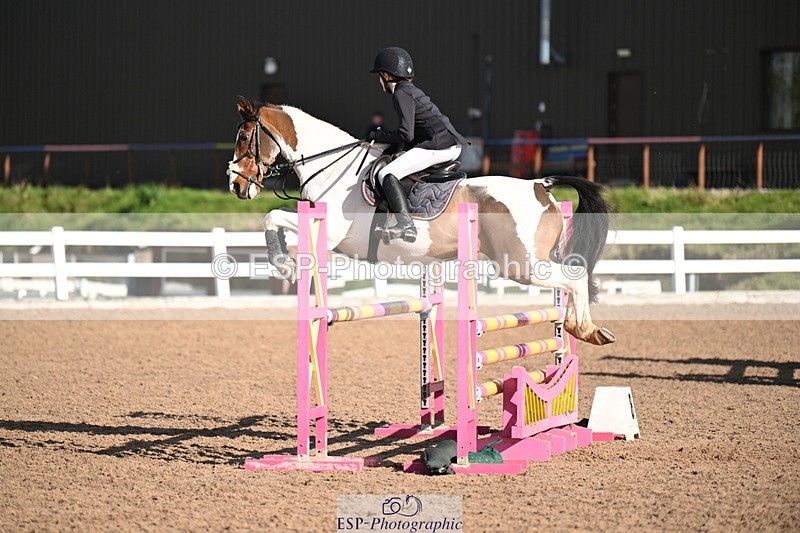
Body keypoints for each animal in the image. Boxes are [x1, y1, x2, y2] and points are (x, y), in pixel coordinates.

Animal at [227, 96, 615, 345]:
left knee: (573, 277)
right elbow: (273, 218)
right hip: (532, 261)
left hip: (520, 263)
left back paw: (584, 329)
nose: (236, 185)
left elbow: (272, 216)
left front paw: (284, 264)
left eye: (245, 137)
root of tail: (540, 184)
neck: (332, 167)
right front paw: (285, 262)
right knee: (574, 275)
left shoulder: (332, 230)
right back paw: (588, 330)